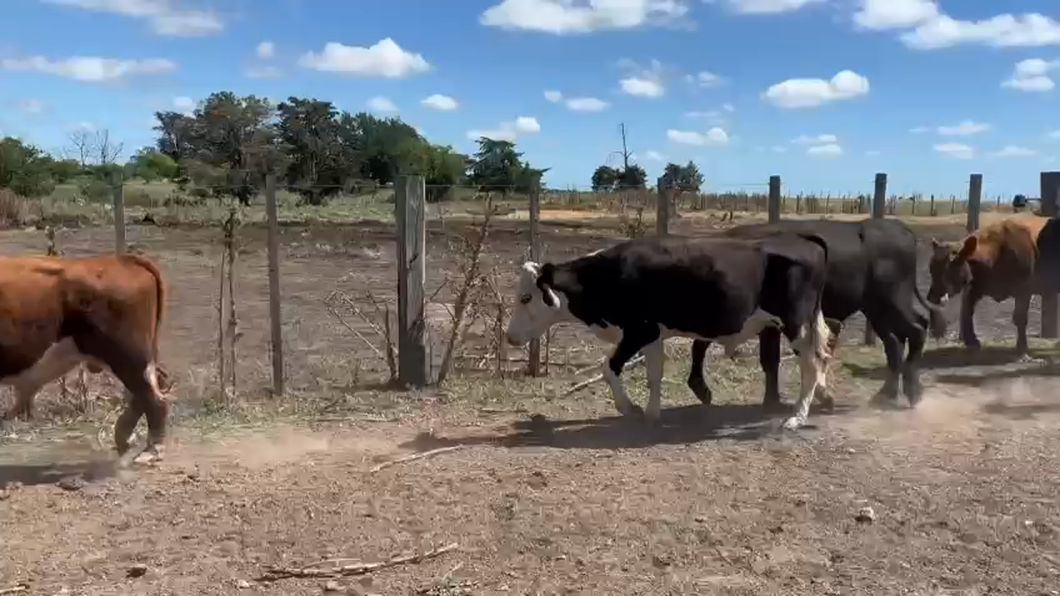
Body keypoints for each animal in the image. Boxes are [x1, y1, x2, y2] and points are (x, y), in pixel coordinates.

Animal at [0, 252, 171, 462]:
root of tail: (122, 259)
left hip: (128, 356)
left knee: (154, 398)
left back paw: (150, 451)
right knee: (152, 388)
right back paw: (124, 438)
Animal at [504, 232, 835, 430]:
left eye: (525, 298)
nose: (510, 337)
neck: (608, 276)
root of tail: (803, 239)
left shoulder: (638, 332)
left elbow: (608, 368)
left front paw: (630, 409)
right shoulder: (653, 335)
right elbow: (654, 374)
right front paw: (652, 413)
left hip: (795, 324)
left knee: (812, 363)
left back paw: (797, 416)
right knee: (822, 356)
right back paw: (821, 398)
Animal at [924, 212, 1055, 354]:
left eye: (950, 268)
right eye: (931, 269)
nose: (932, 297)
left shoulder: (1024, 290)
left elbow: (1019, 317)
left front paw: (1022, 346)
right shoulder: (976, 286)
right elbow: (967, 311)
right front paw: (971, 340)